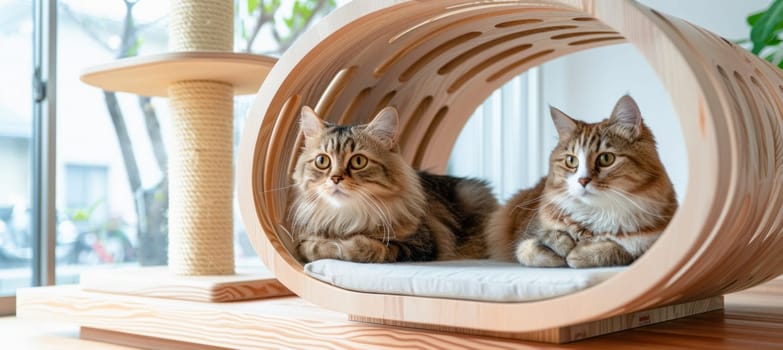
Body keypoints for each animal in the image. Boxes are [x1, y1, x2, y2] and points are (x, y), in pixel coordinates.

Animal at [290, 106, 500, 262]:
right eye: (322, 161)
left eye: (358, 161)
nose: (335, 178)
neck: (346, 217)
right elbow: (310, 248)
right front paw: (323, 245)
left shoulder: (420, 245)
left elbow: (368, 248)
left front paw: (342, 246)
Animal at [486, 94, 676, 266]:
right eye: (571, 161)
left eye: (606, 159)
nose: (583, 180)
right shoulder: (527, 235)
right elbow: (532, 247)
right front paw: (562, 246)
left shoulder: (649, 246)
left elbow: (618, 250)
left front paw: (579, 254)